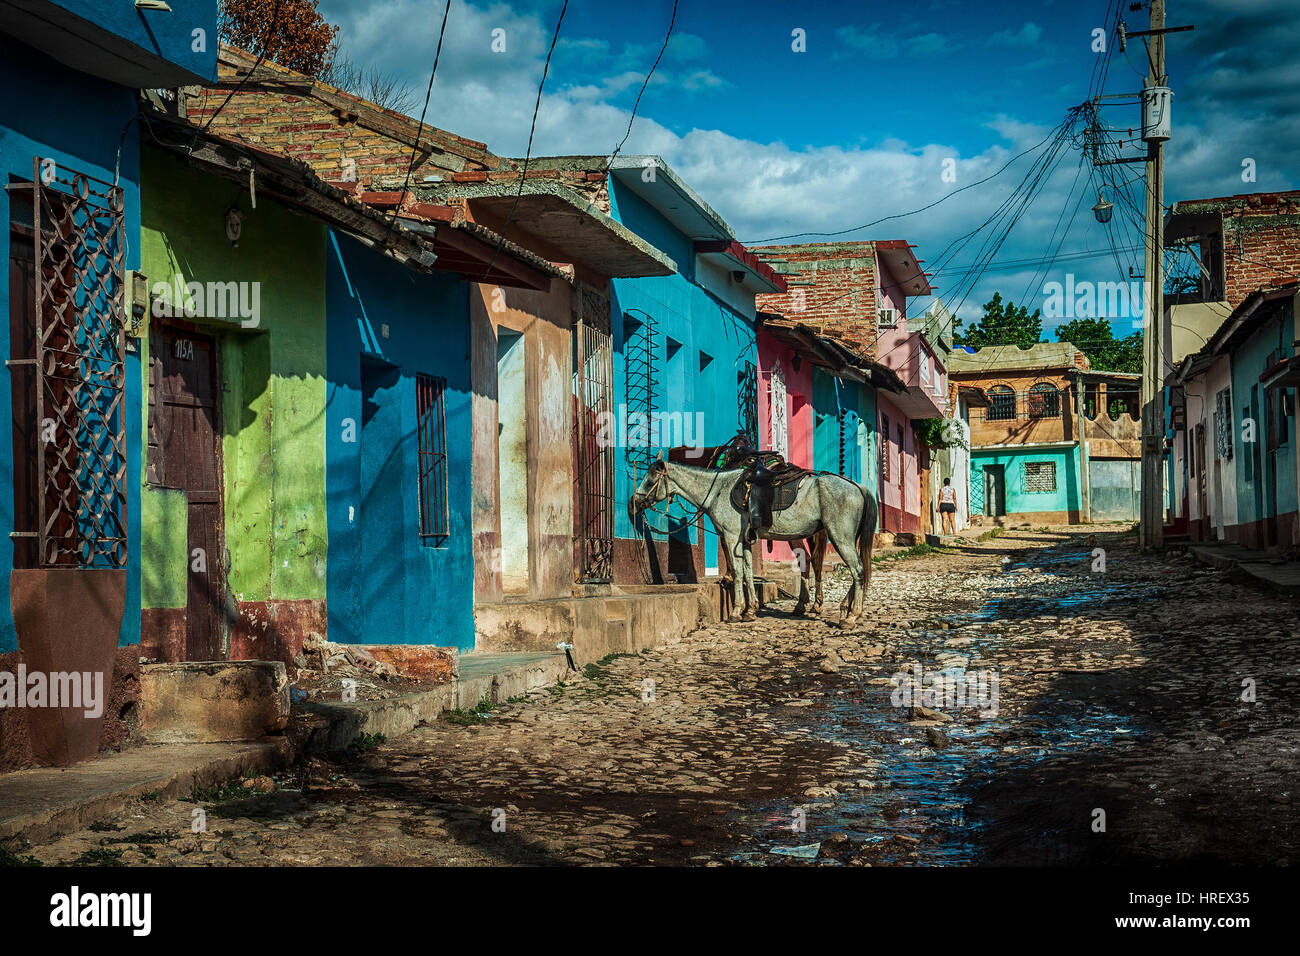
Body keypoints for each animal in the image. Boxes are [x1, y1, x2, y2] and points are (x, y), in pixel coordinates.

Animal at [626, 460, 873, 624]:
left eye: (650, 480)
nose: (632, 504)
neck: (719, 491)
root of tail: (857, 486)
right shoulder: (743, 541)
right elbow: (747, 572)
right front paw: (751, 610)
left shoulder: (731, 536)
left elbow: (737, 573)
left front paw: (736, 611)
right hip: (843, 539)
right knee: (857, 570)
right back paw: (845, 609)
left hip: (840, 537)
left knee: (858, 571)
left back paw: (851, 616)